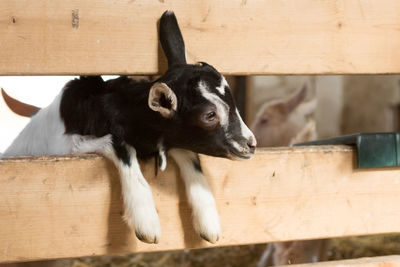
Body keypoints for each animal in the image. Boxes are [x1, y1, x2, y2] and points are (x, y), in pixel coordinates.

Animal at [2, 10, 256, 245]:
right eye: (209, 115)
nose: (251, 144)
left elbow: (189, 153)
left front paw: (209, 221)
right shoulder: (70, 147)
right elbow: (119, 144)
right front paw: (147, 221)